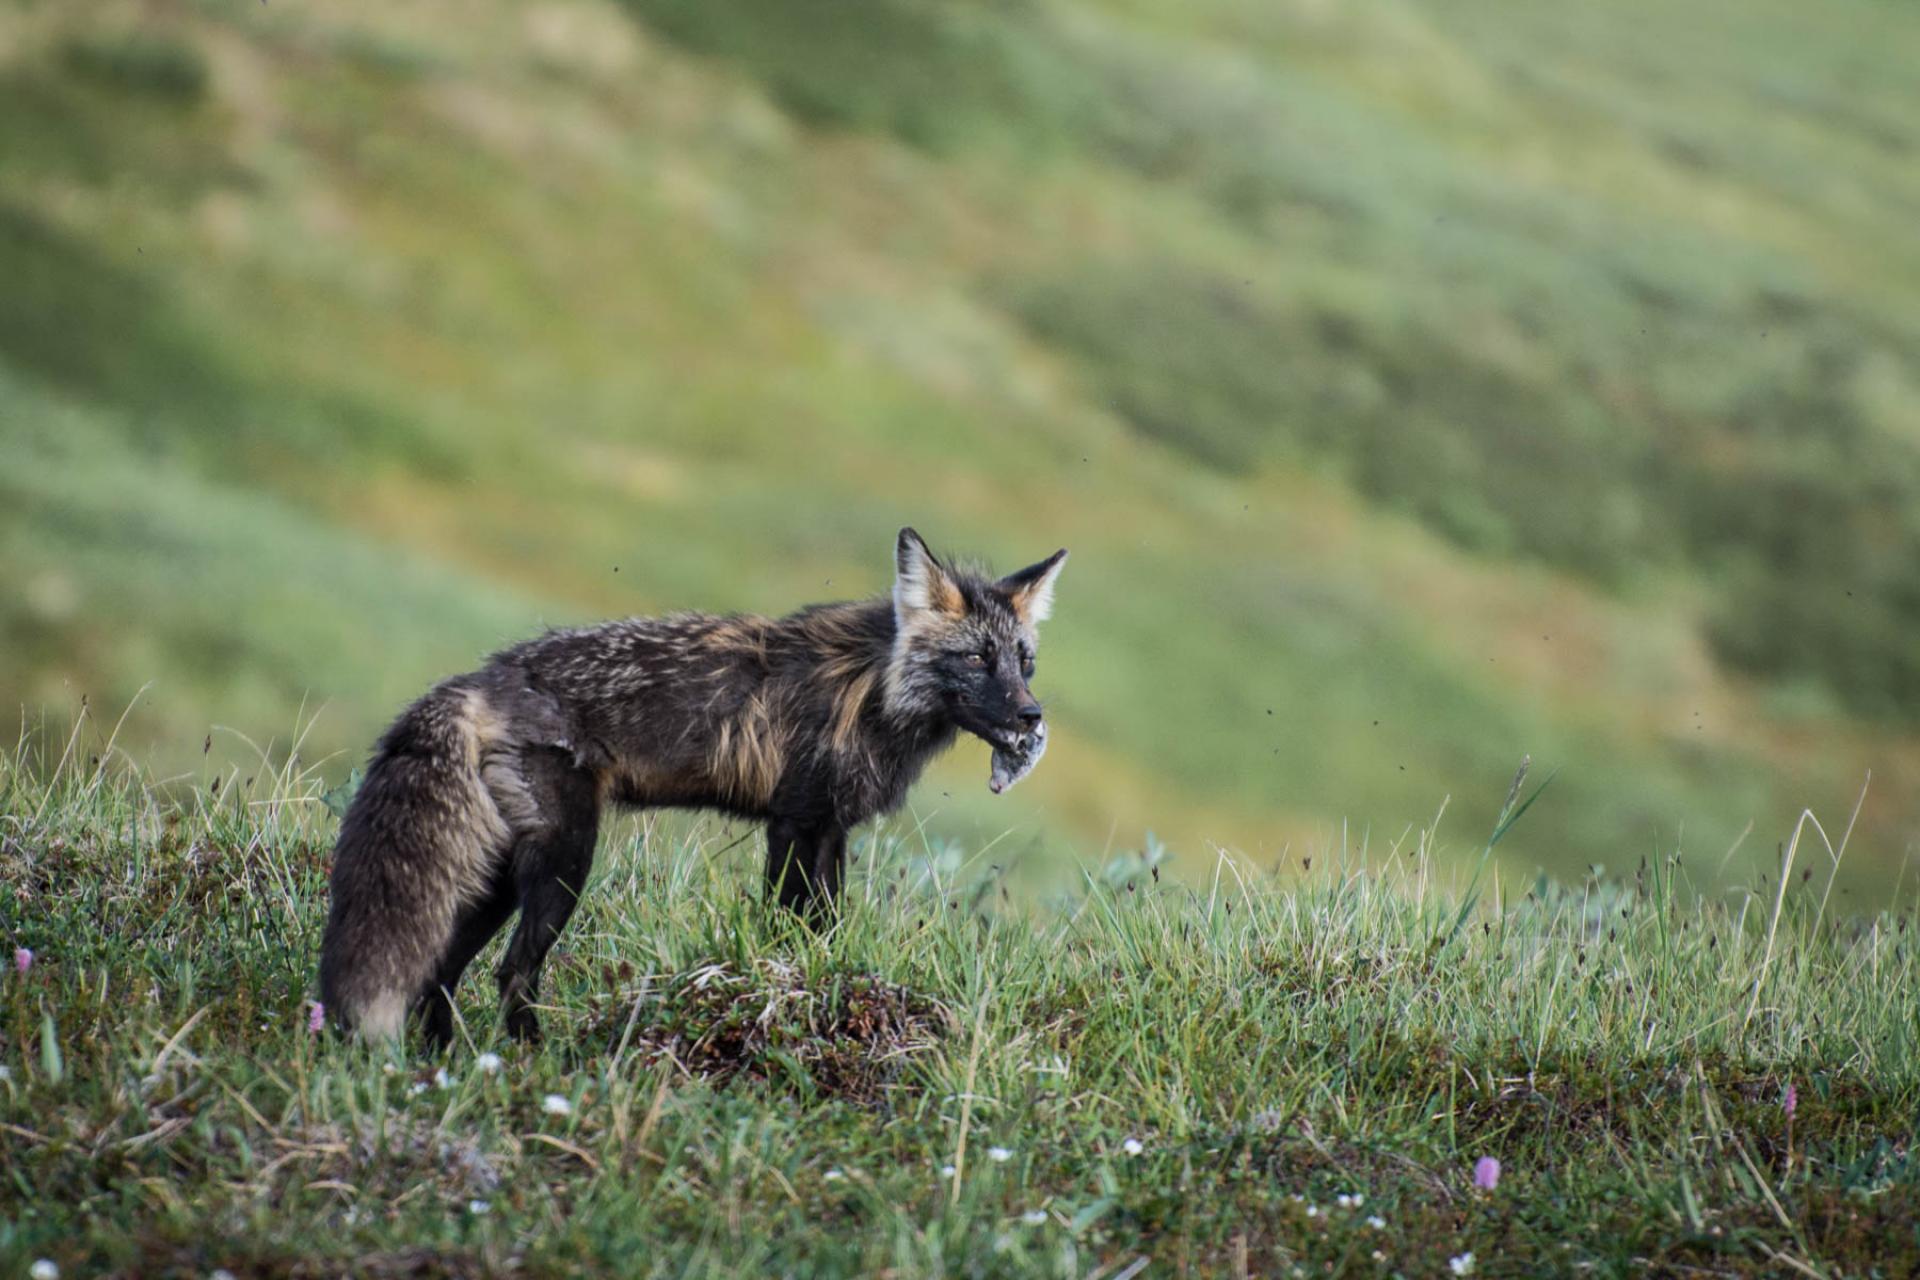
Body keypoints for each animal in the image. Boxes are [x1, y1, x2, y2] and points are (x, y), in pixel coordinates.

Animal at [314, 529, 1067, 1043]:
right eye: (976, 658)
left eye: (1024, 661)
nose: (1031, 716)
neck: (874, 692)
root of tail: (481, 677)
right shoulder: (795, 822)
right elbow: (788, 924)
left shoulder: (831, 828)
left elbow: (824, 926)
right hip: (563, 863)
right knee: (512, 972)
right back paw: (532, 1061)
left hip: (497, 875)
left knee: (440, 974)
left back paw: (445, 1065)